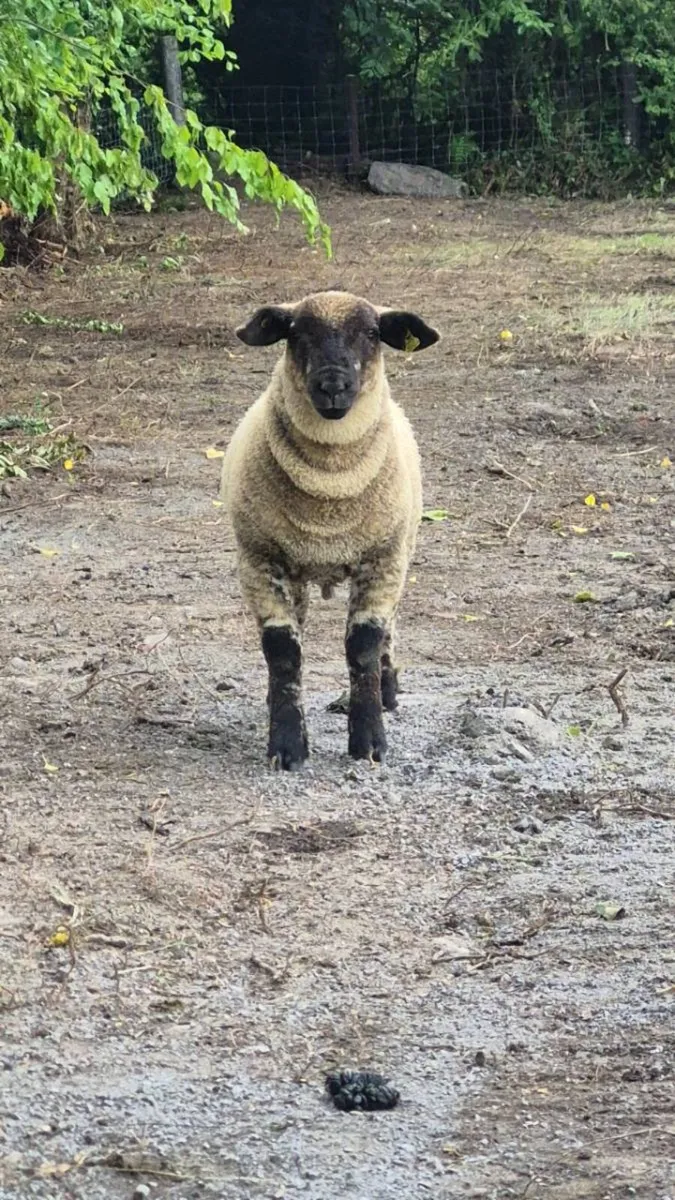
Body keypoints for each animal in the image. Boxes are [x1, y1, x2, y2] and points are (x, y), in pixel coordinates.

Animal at [221, 290, 439, 770]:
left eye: (373, 333)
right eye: (296, 332)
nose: (333, 385)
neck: (328, 497)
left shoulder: (382, 559)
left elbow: (364, 646)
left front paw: (370, 741)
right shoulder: (259, 559)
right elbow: (283, 651)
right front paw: (287, 745)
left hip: (401, 547)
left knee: (389, 628)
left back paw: (389, 691)